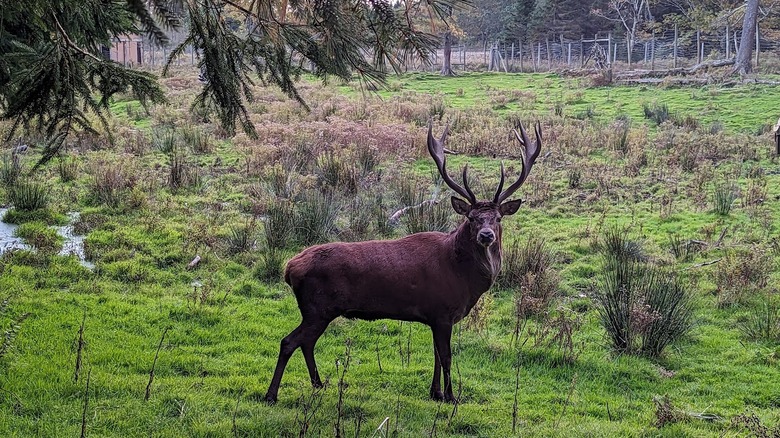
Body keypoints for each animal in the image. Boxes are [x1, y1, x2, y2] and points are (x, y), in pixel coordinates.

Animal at [264, 120, 542, 404]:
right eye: (472, 218)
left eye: (498, 218)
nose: (486, 235)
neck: (464, 279)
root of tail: (289, 268)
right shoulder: (442, 311)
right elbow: (447, 357)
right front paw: (451, 396)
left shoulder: (435, 316)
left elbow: (436, 355)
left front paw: (435, 392)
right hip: (317, 307)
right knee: (289, 341)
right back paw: (272, 394)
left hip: (318, 311)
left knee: (306, 342)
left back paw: (318, 384)